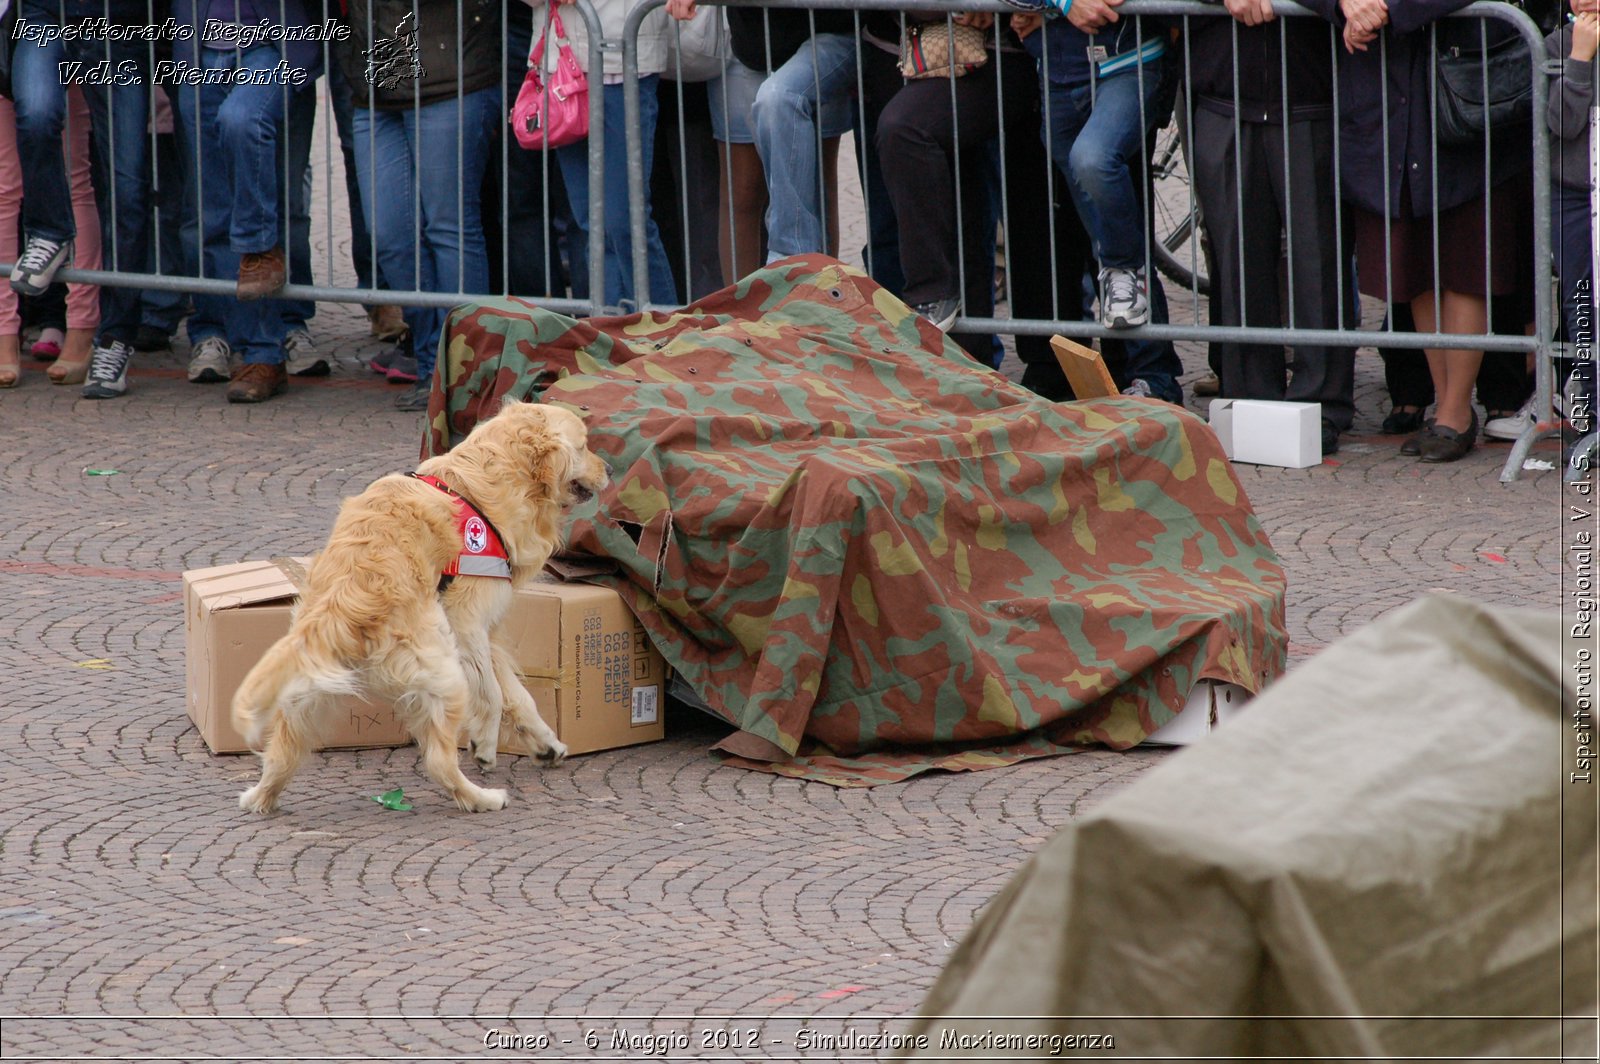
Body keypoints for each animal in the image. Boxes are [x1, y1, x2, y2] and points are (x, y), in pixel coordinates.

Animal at [233, 400, 608, 812]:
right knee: (439, 762)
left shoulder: (486, 630)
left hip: (306, 693)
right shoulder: (466, 620)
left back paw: (259, 796)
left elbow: (517, 694)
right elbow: (493, 694)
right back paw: (482, 798)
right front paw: (486, 744)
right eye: (584, 445)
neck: (488, 480)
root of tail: (347, 604)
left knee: (282, 753)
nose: (609, 469)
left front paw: (546, 744)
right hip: (443, 675)